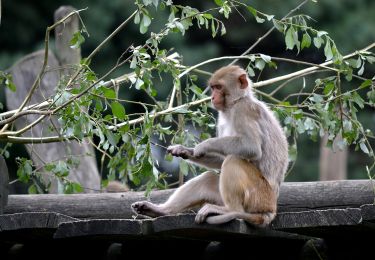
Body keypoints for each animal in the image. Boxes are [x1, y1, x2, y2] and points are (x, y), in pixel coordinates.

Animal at [133, 65, 290, 225]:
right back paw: (161, 210)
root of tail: (270, 211)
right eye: (213, 88)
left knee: (233, 160)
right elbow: (221, 160)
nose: (212, 97)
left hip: (258, 196)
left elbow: (251, 147)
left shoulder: (244, 110)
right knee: (208, 177)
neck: (234, 104)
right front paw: (184, 151)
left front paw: (203, 146)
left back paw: (231, 210)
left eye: (219, 87)